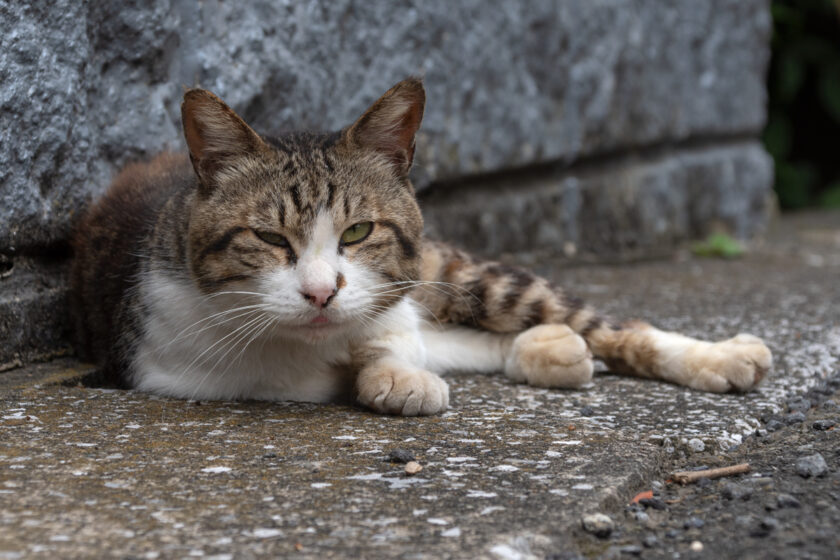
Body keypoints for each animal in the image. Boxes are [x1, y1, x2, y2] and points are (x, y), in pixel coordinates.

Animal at [70, 77, 776, 416]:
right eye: (269, 237)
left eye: (358, 232)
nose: (321, 293)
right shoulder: (183, 367)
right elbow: (367, 363)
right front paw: (395, 381)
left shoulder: (392, 307)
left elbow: (389, 341)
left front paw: (392, 372)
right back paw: (547, 352)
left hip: (466, 275)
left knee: (614, 328)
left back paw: (719, 356)